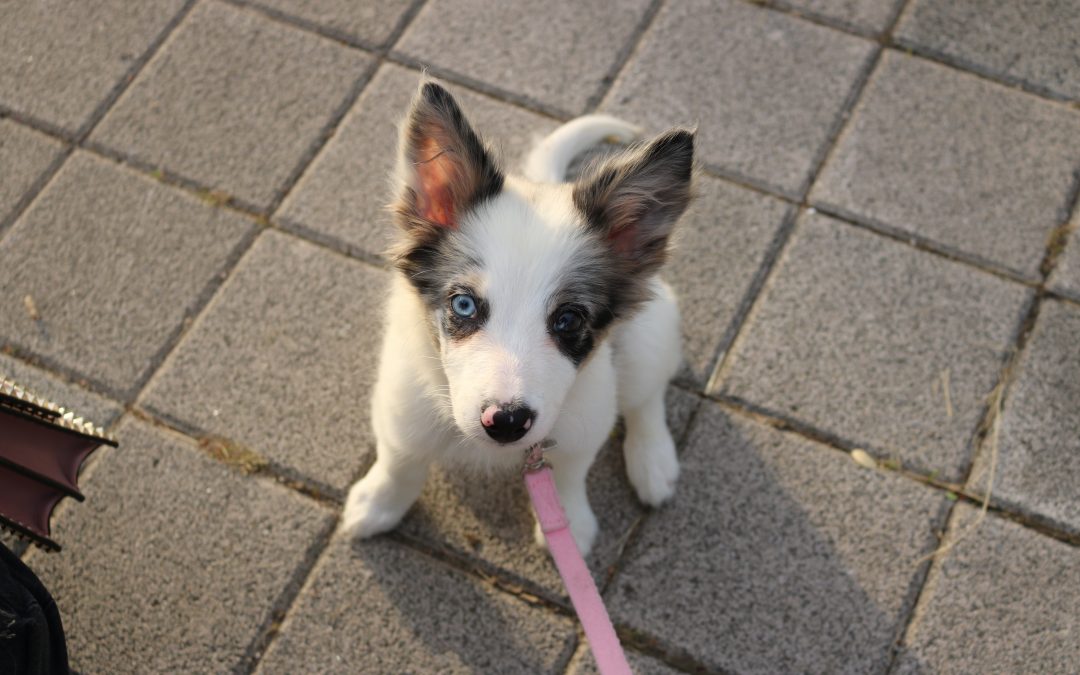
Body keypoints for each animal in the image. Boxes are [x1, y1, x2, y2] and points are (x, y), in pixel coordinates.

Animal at [345, 80, 699, 552]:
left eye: (568, 320)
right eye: (463, 305)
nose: (507, 422)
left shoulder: (583, 422)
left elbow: (568, 474)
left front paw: (569, 526)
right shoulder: (403, 402)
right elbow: (400, 460)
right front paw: (378, 504)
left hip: (649, 335)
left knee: (647, 395)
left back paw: (653, 460)